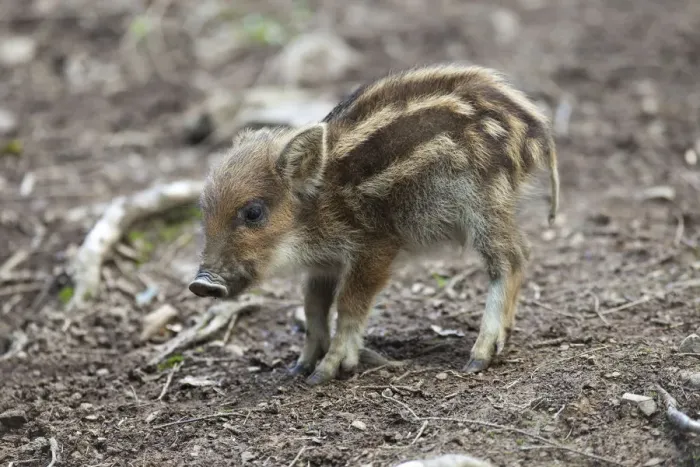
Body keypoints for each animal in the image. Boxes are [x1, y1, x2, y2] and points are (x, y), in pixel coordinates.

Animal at [188, 64, 560, 385]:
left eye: (253, 212)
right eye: (204, 210)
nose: (201, 284)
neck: (317, 206)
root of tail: (536, 127)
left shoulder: (375, 247)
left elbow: (349, 302)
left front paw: (327, 371)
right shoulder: (325, 263)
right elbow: (313, 305)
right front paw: (301, 366)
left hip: (485, 204)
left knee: (511, 258)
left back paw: (479, 357)